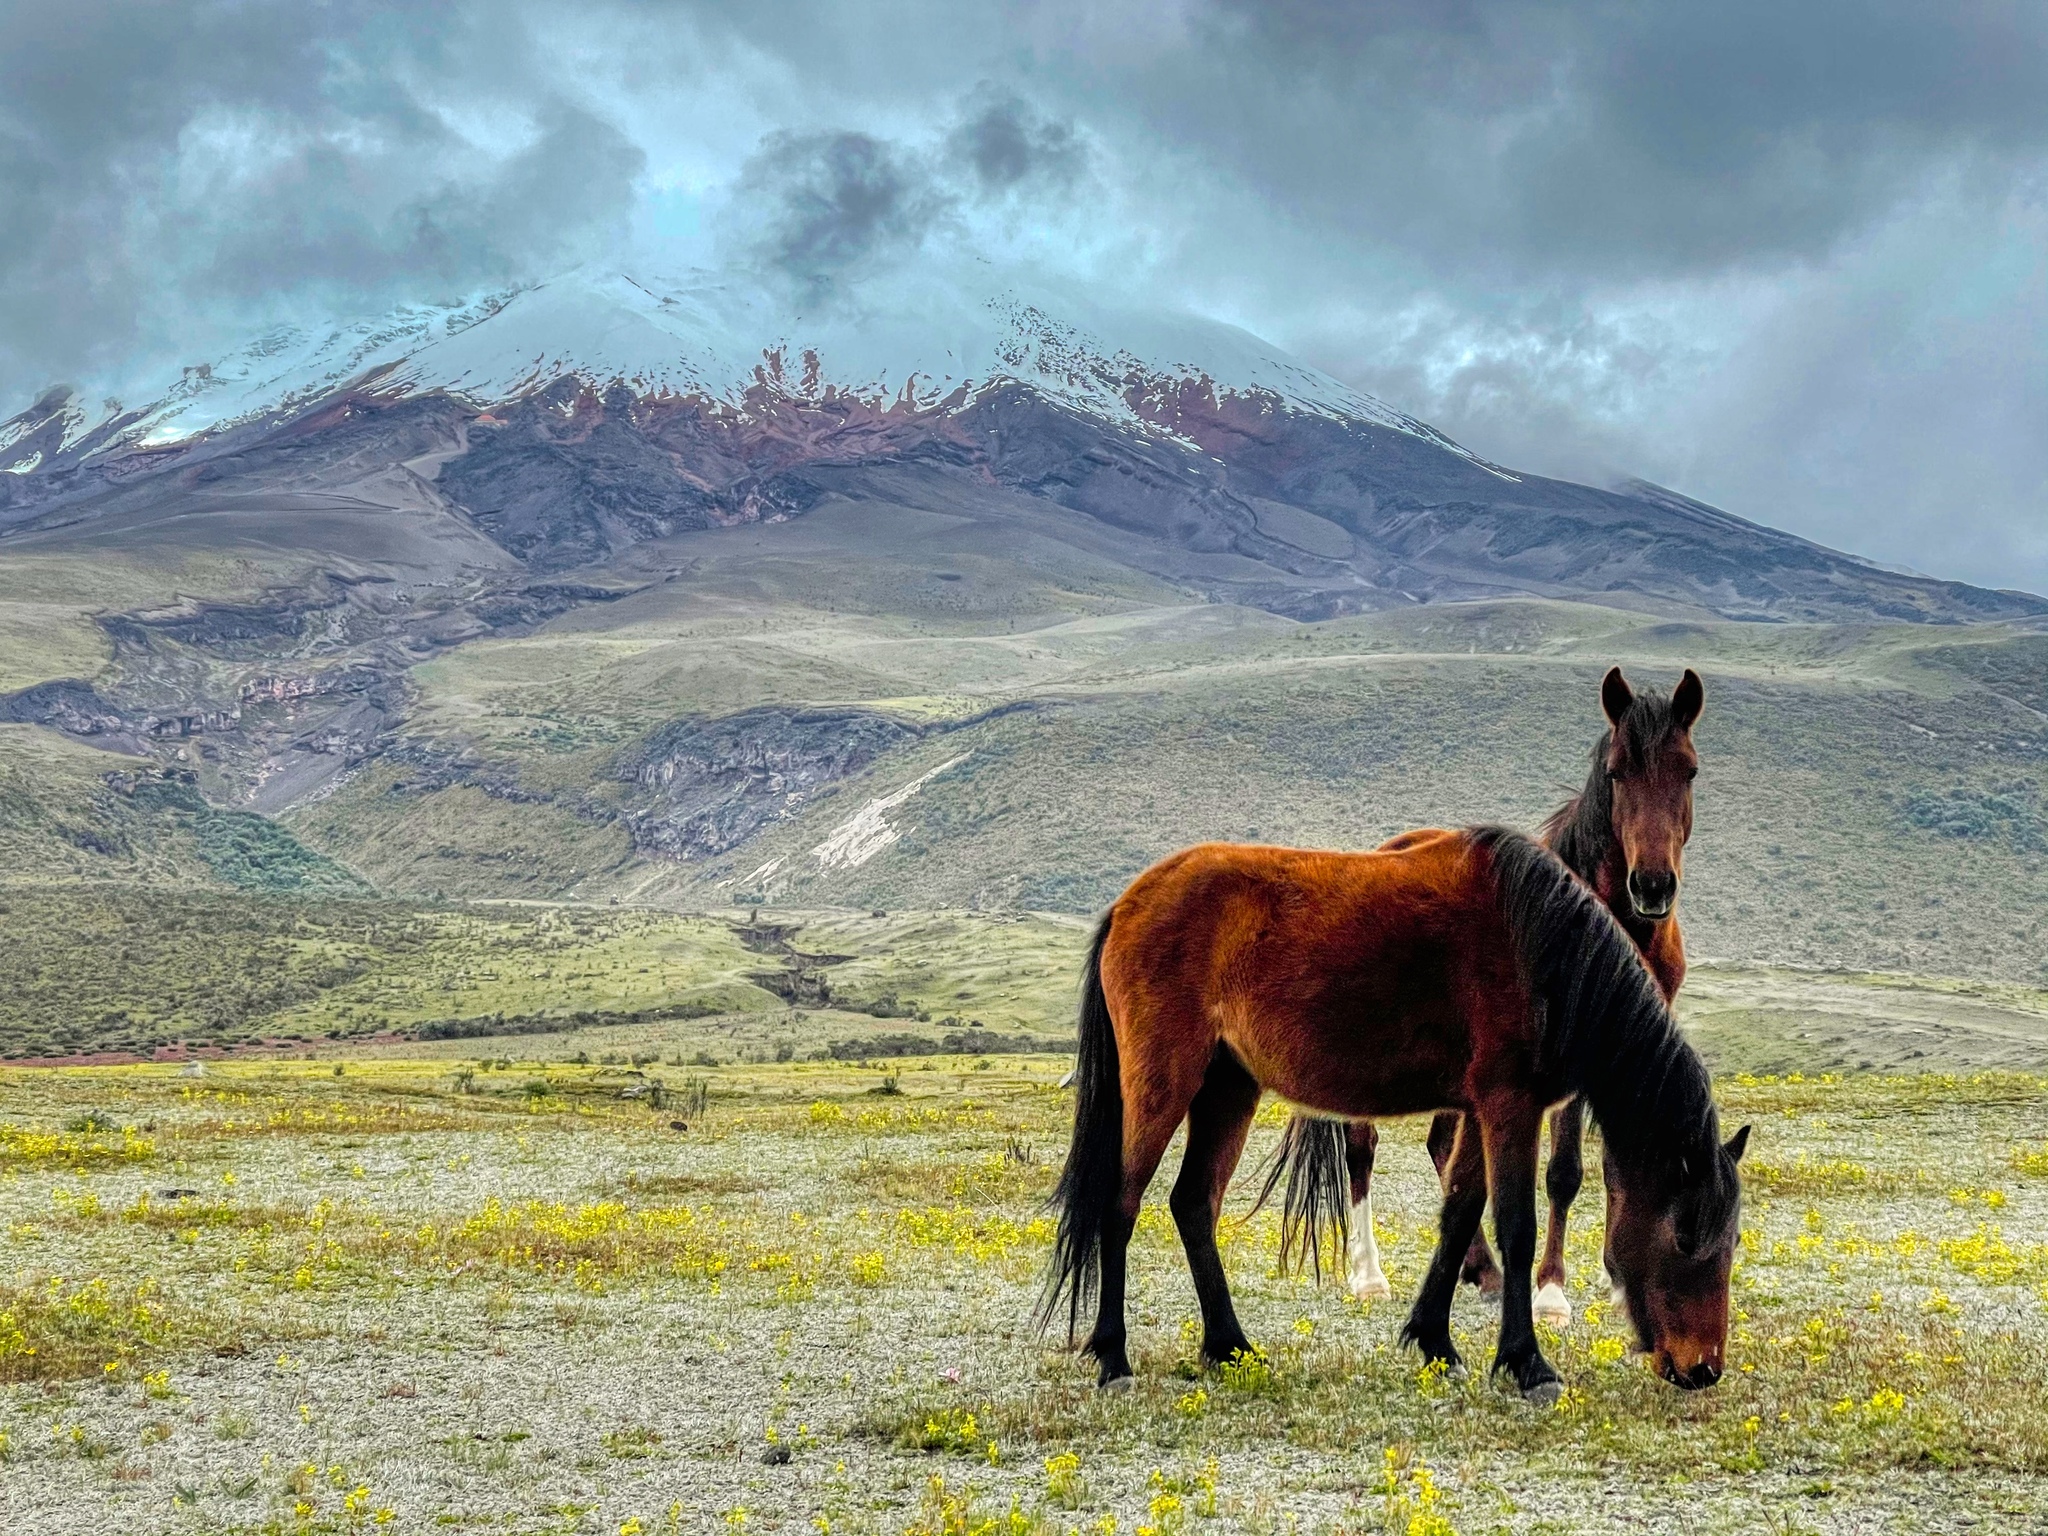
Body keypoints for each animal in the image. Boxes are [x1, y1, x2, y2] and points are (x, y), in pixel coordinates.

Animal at [1040, 831, 1744, 1409]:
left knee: (1192, 1204)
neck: (1544, 948)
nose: (1703, 1369)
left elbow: (1460, 1212)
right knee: (1120, 1206)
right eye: (1684, 1236)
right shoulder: (1509, 1106)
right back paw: (1114, 1358)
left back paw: (1230, 1348)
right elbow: (1515, 1228)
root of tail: (1127, 905)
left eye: (1732, 1240)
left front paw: (1435, 1340)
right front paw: (1528, 1364)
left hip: (1228, 1088)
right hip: (1163, 1083)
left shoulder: (1477, 1111)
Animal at [1269, 663, 1703, 1327]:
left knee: (1441, 1144)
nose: (1652, 886)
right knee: (1361, 1145)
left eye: (1689, 770)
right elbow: (1564, 1169)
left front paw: (1617, 1281)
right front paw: (1551, 1291)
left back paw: (1483, 1270)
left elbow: (1613, 1163)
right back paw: (1370, 1276)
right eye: (1616, 772)